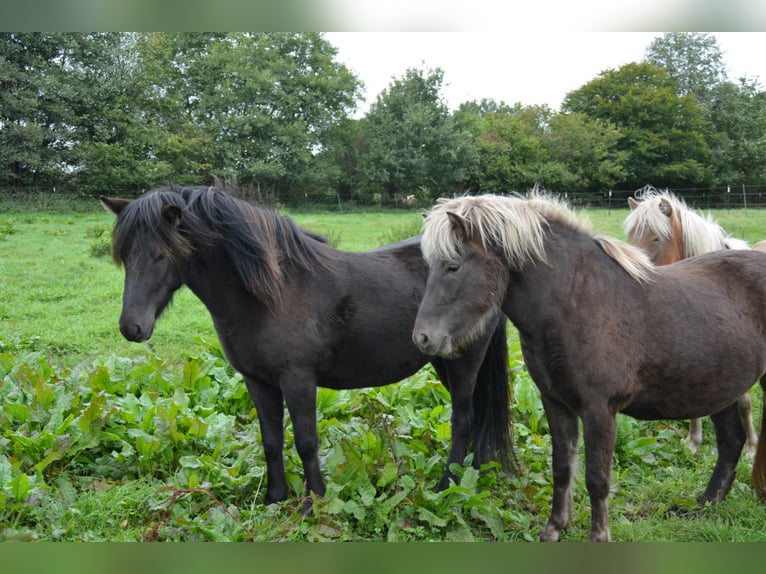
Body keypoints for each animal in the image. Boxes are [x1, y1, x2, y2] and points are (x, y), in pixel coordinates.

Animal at [101, 185, 513, 512]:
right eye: (124, 256)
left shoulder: (298, 380)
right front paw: (274, 499)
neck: (271, 292)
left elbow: (305, 442)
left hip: (463, 362)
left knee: (463, 420)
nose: (131, 327)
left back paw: (448, 485)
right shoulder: (257, 381)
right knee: (479, 417)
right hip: (443, 362)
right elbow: (271, 441)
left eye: (160, 254)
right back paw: (475, 476)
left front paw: (313, 502)